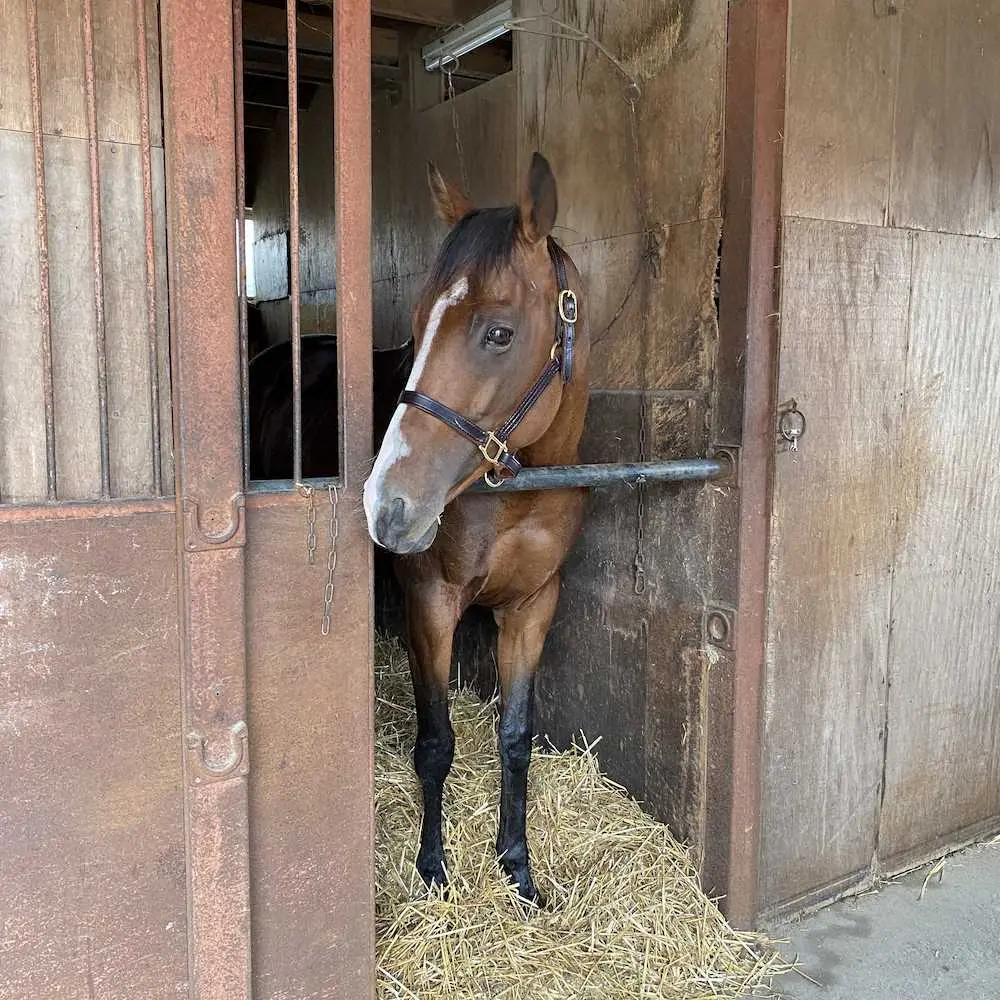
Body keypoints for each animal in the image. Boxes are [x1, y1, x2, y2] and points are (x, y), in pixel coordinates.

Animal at [366, 150, 584, 908]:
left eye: (498, 332)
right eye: (418, 324)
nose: (389, 504)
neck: (513, 496)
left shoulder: (533, 606)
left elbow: (514, 737)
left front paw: (516, 866)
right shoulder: (429, 603)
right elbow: (436, 742)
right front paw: (433, 868)